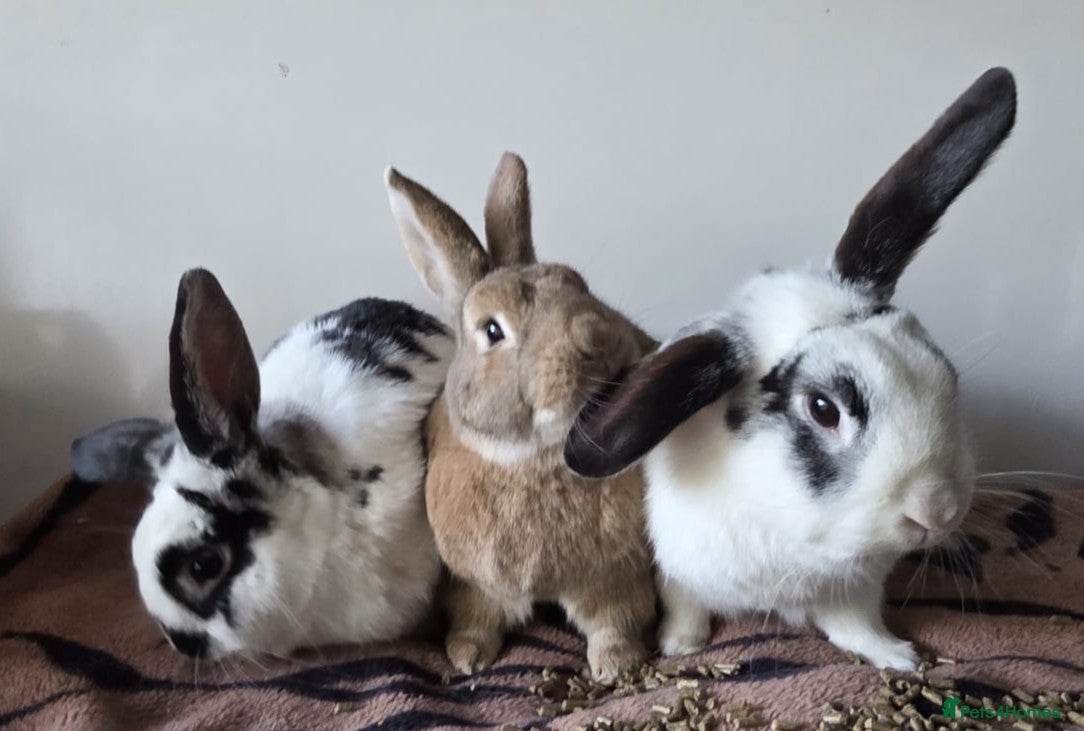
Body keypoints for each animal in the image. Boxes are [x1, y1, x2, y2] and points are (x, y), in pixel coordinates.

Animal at [384, 152, 659, 681]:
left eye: (578, 284)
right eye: (492, 330)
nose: (596, 341)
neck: (538, 456)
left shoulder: (614, 578)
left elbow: (616, 623)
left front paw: (616, 667)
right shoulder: (477, 584)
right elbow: (475, 619)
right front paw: (467, 658)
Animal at [563, 68, 1017, 670]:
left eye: (944, 369)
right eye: (823, 409)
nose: (938, 511)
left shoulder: (854, 589)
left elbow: (855, 626)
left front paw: (898, 656)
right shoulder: (679, 568)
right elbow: (686, 604)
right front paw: (680, 646)